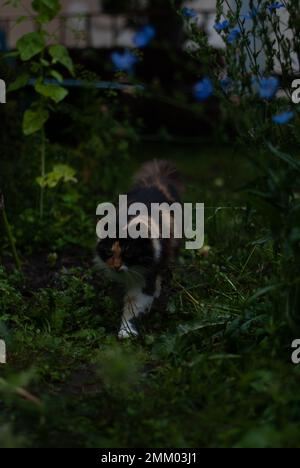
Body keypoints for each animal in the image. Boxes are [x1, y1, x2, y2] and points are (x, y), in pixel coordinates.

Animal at [97, 159, 184, 338]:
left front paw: (126, 332)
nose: (116, 266)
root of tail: (156, 179)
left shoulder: (147, 274)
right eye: (109, 252)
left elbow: (133, 304)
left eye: (128, 253)